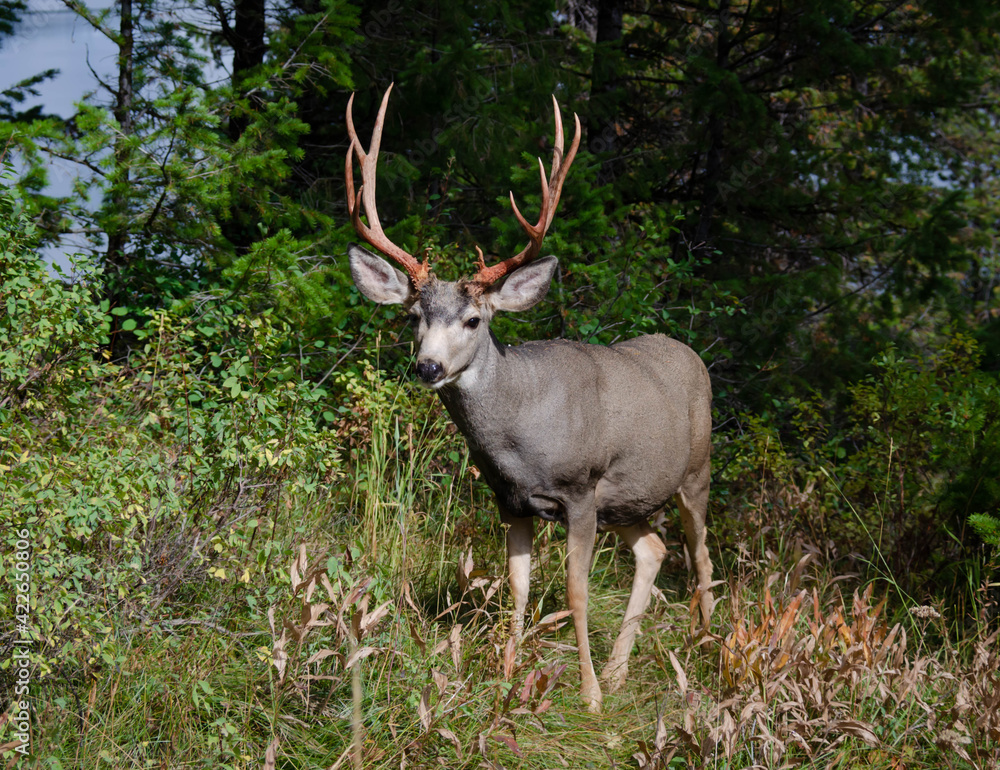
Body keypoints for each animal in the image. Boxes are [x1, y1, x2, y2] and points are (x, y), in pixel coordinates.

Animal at [348, 84, 716, 708]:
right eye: (414, 317)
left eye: (474, 319)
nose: (427, 366)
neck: (520, 438)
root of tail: (690, 354)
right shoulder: (510, 501)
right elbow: (518, 589)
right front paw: (506, 678)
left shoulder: (581, 490)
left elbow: (575, 592)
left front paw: (588, 697)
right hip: (629, 500)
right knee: (653, 550)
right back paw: (620, 670)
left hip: (695, 472)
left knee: (702, 555)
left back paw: (712, 655)